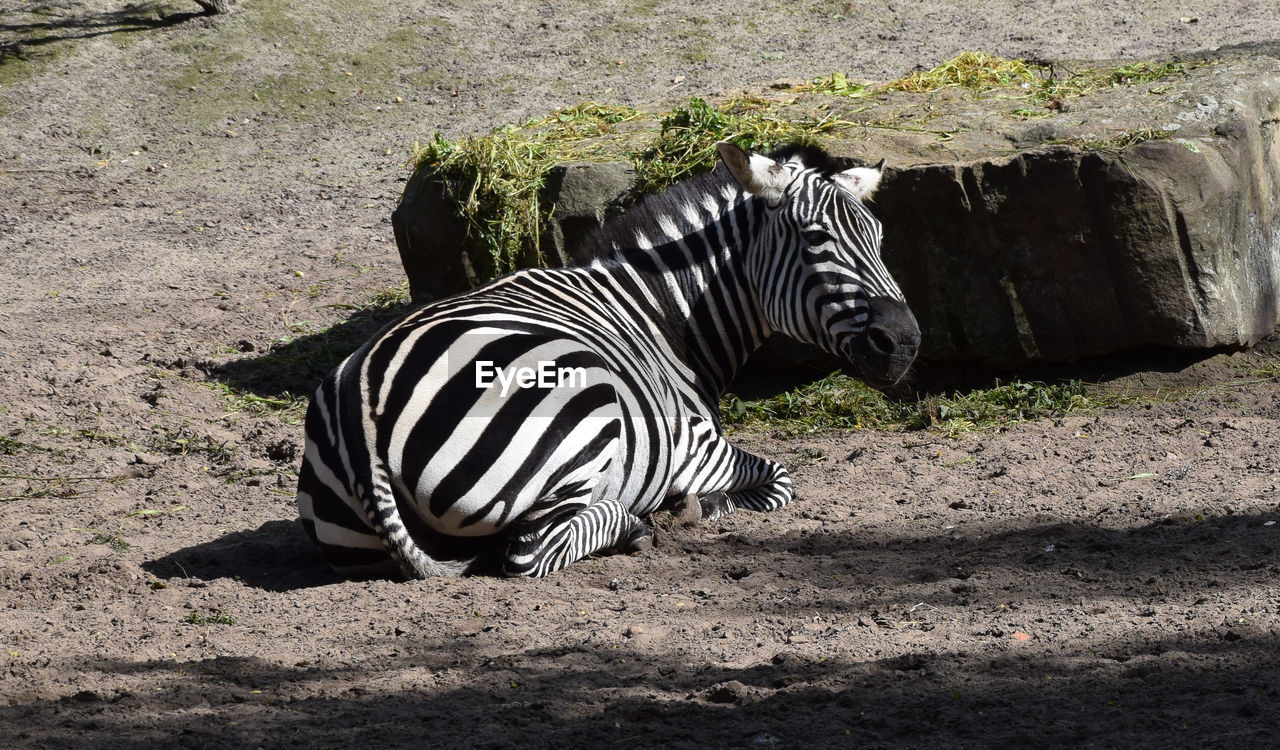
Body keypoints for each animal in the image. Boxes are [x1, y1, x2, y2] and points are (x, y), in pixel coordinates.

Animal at [296, 141, 921, 578]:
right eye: (816, 239)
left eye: (879, 236)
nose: (906, 342)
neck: (661, 312)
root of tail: (362, 402)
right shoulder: (696, 447)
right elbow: (779, 481)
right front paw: (701, 506)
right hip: (584, 407)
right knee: (529, 552)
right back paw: (634, 523)